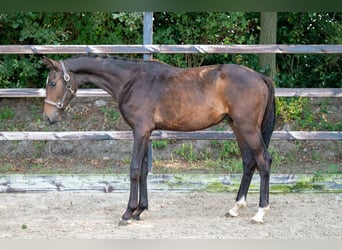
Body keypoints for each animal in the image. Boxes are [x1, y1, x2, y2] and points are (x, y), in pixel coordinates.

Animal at [42, 55, 276, 224]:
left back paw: (260, 213)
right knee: (249, 162)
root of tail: (260, 77)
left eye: (52, 83)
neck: (132, 80)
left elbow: (135, 169)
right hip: (237, 127)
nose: (48, 117)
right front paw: (140, 210)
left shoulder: (140, 130)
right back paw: (235, 208)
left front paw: (127, 213)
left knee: (263, 161)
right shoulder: (146, 132)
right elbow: (144, 171)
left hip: (248, 128)